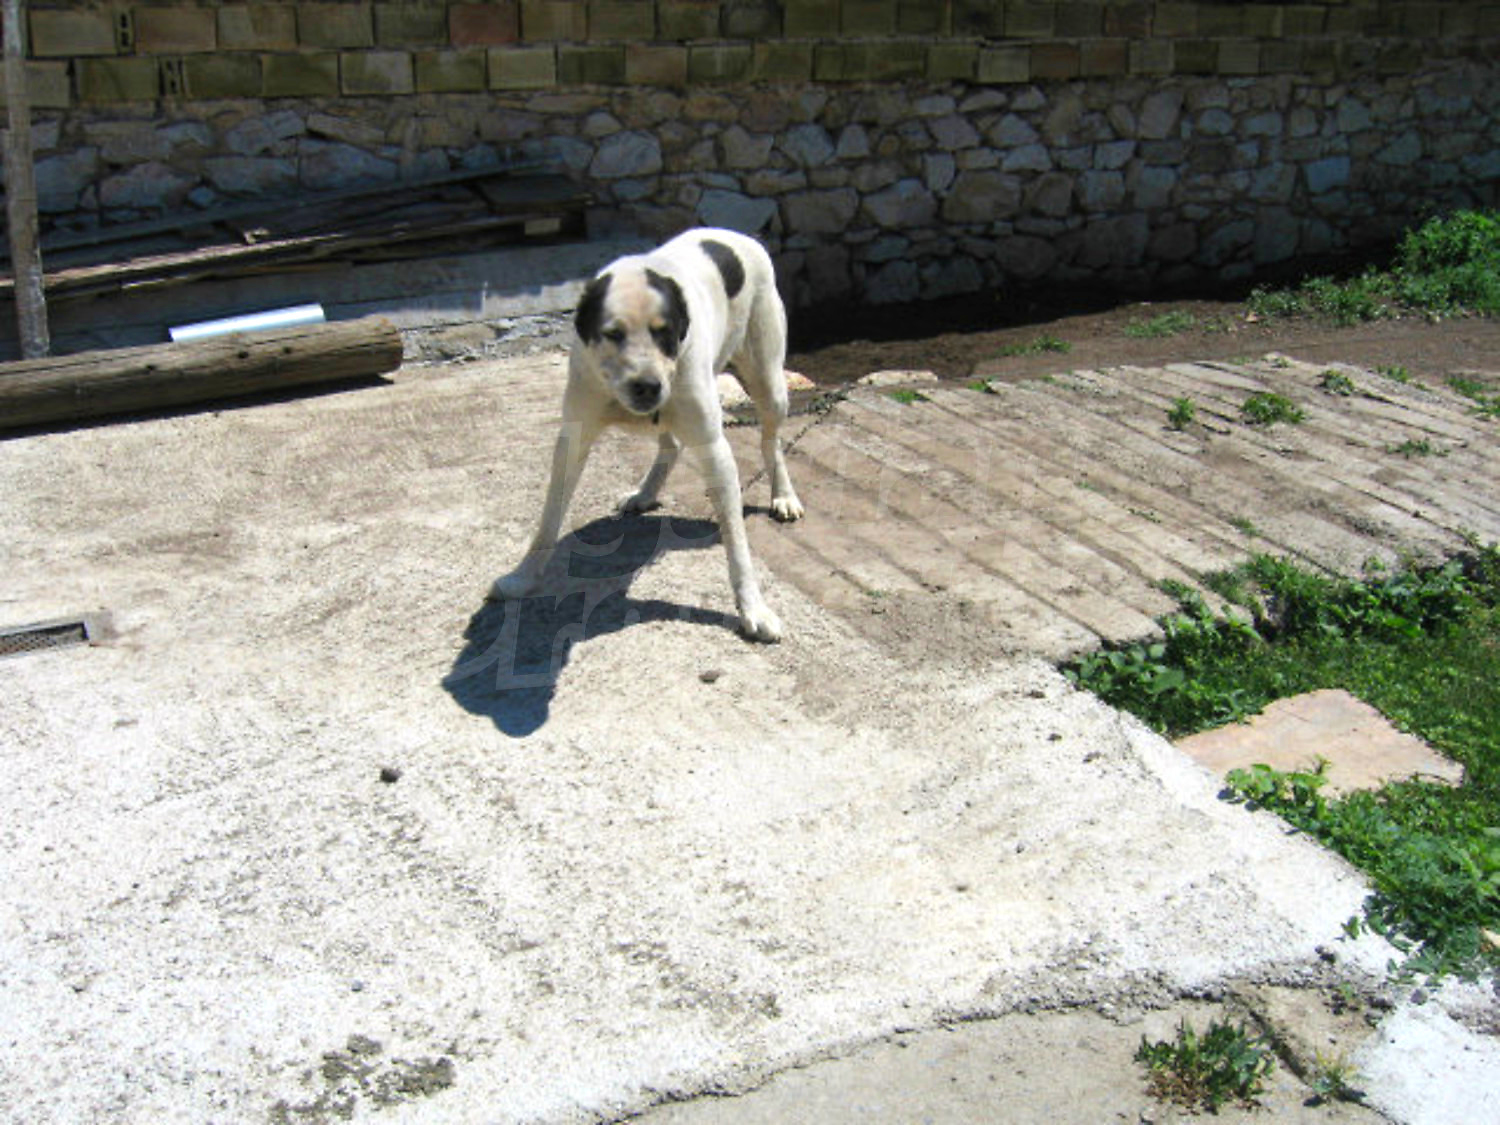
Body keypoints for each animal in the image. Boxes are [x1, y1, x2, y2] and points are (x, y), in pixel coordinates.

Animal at [489, 228, 804, 642]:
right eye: (613, 333)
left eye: (664, 333)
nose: (648, 387)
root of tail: (736, 235)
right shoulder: (573, 439)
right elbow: (548, 521)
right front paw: (522, 577)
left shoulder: (713, 447)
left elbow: (737, 544)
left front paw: (753, 608)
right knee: (670, 444)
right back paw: (645, 493)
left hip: (768, 378)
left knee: (771, 442)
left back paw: (783, 495)